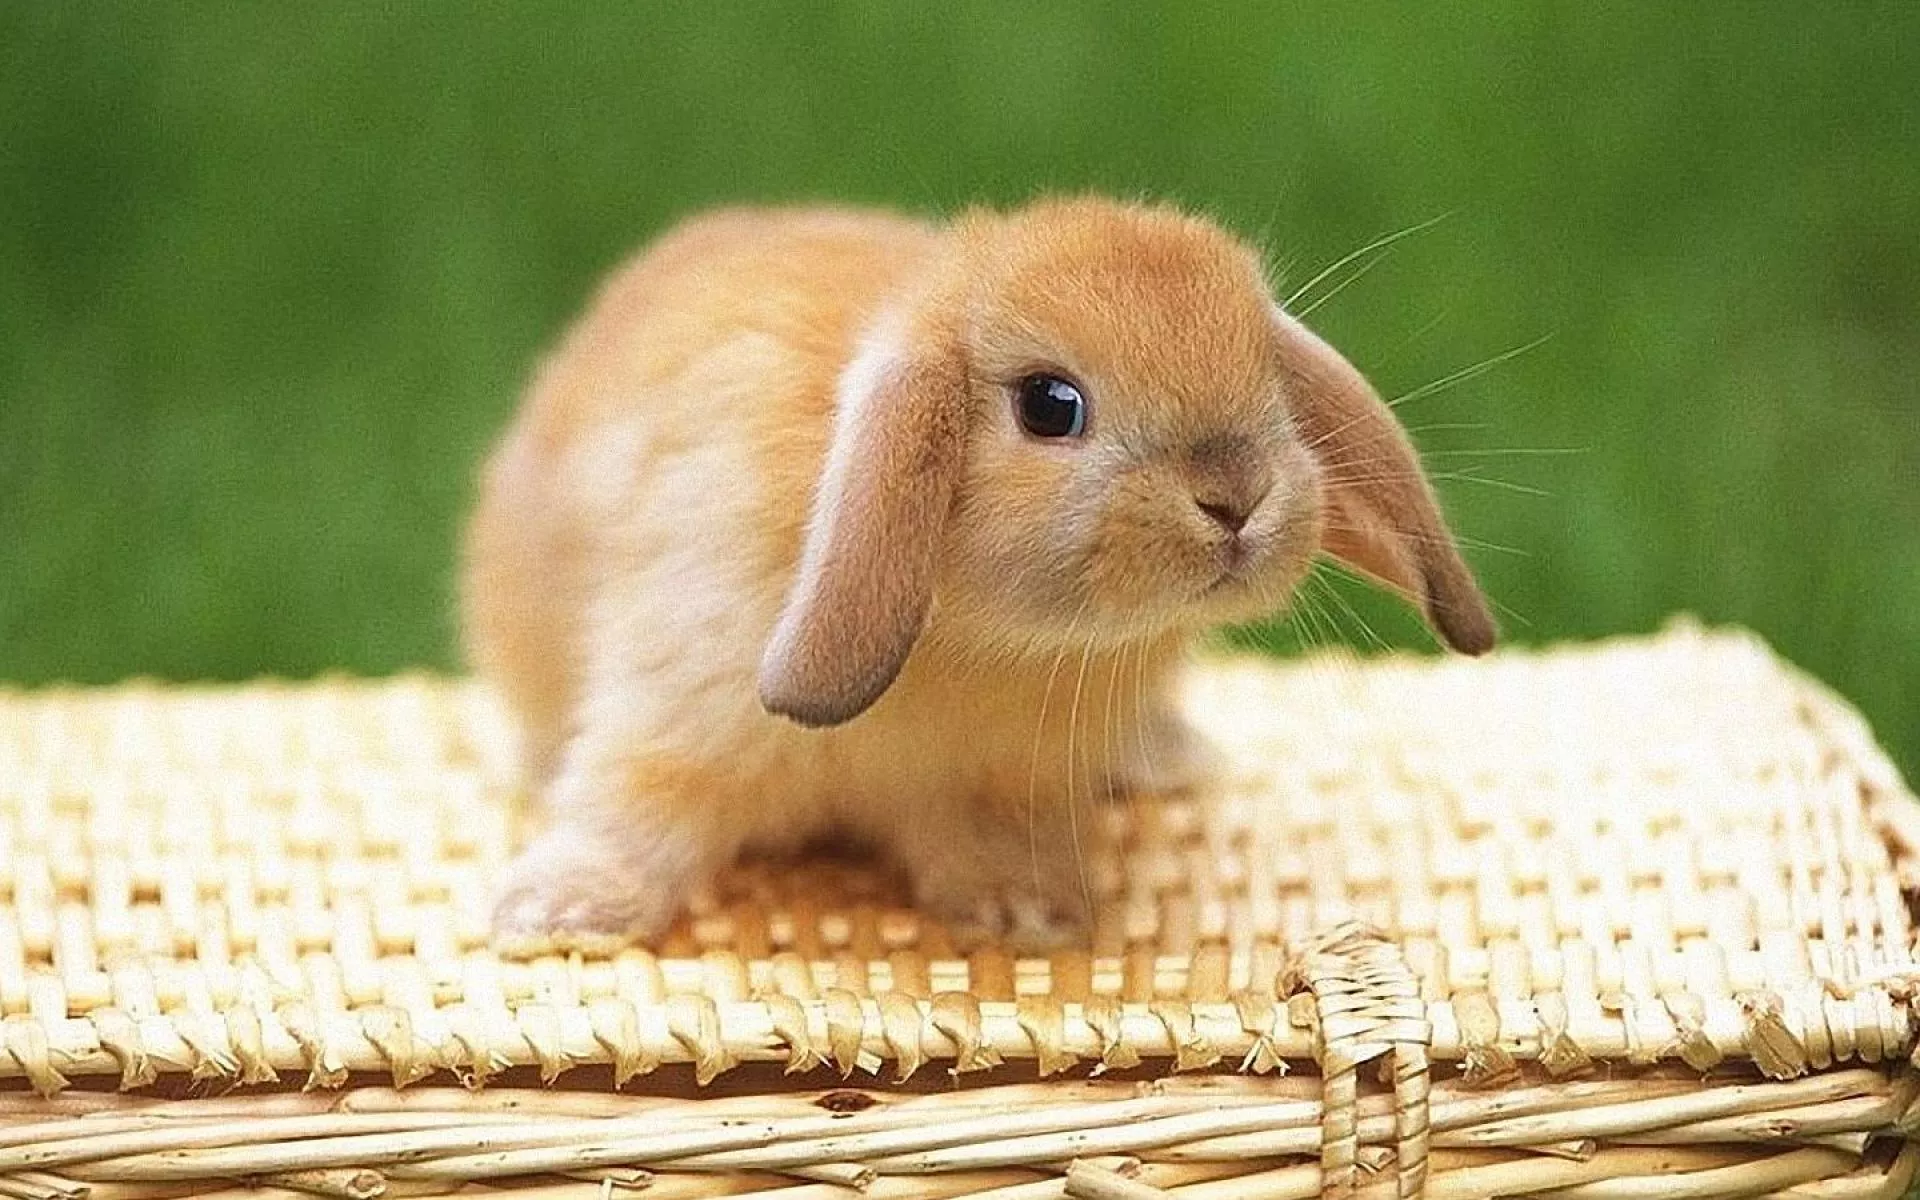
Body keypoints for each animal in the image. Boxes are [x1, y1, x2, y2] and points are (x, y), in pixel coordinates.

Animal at [463, 196, 1494, 953]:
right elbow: (632, 810)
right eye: (1050, 405)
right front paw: (555, 917)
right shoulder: (676, 711)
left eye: (1269, 383)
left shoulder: (1001, 780)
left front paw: (1027, 918)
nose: (1236, 497)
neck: (978, 635)